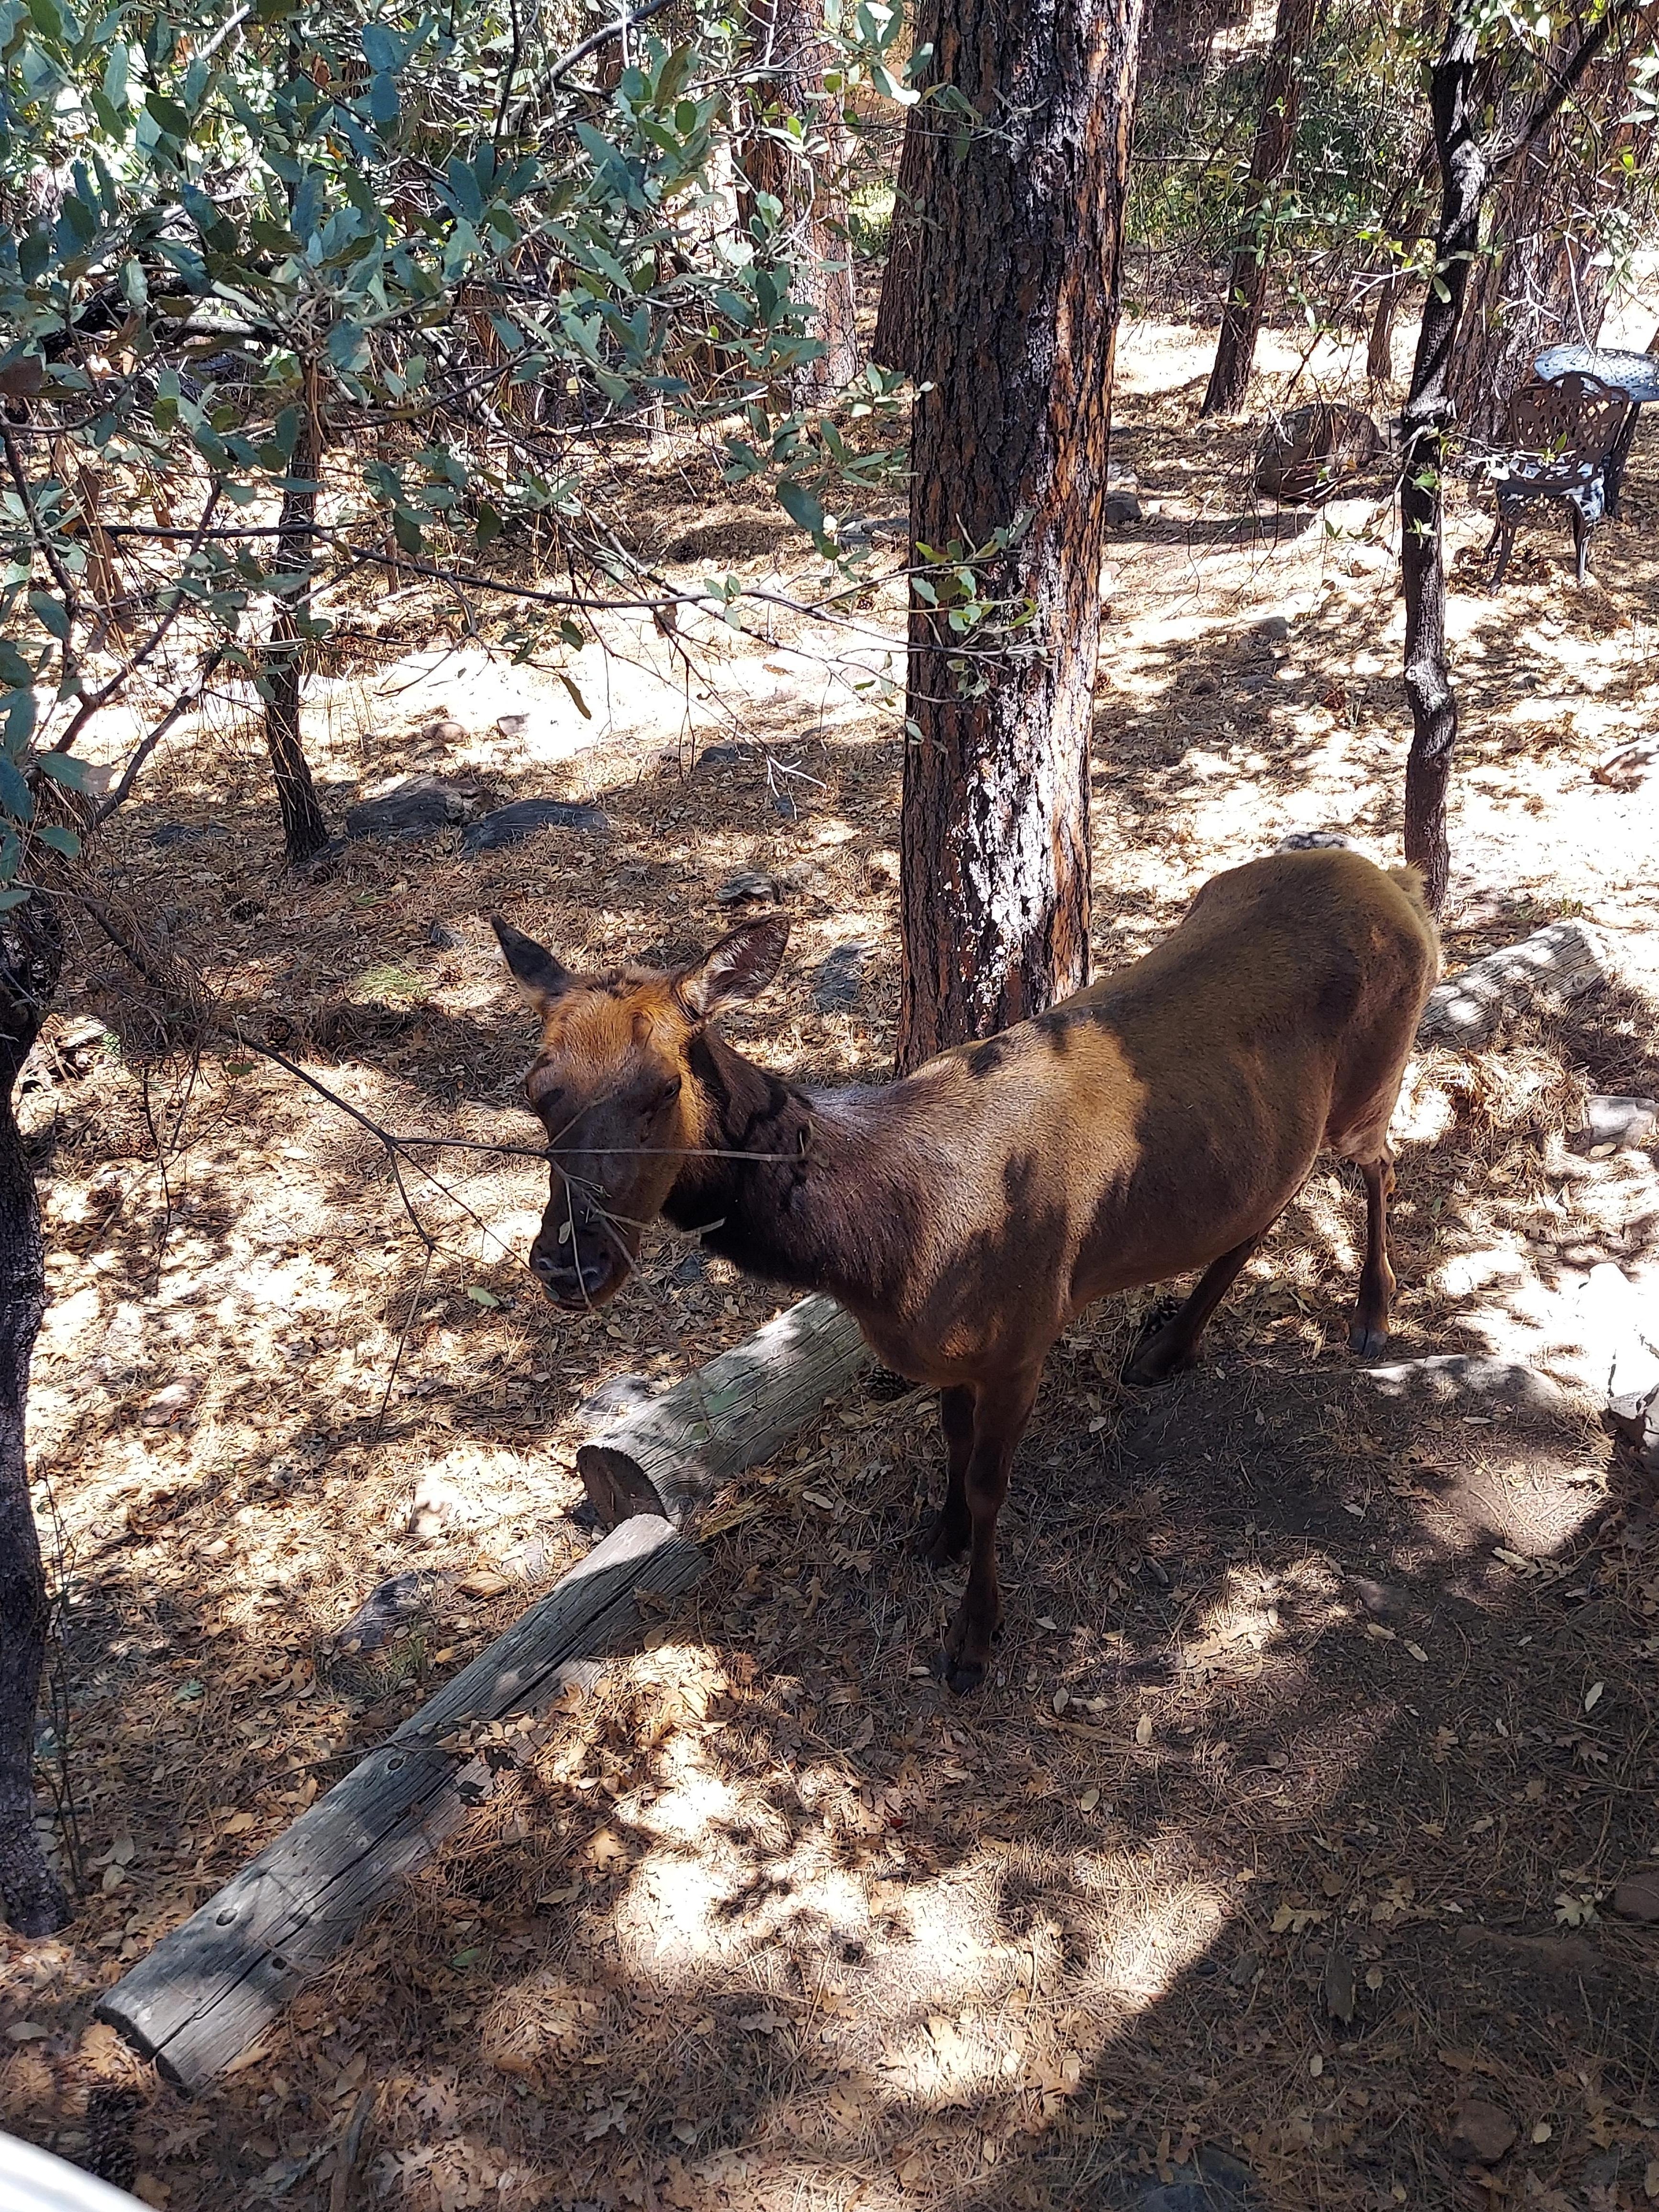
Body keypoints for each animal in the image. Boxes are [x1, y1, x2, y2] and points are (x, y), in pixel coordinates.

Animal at [493, 846, 1438, 1693]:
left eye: (661, 1088)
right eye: (535, 1090)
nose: (567, 1263)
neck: (890, 1252)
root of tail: (1402, 884)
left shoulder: (1023, 1332)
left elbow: (990, 1483)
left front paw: (973, 1638)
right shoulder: (948, 1349)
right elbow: (948, 1442)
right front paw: (936, 1534)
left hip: (1373, 1080)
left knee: (1382, 1164)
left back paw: (1372, 1314)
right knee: (1264, 1207)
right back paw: (1169, 1348)